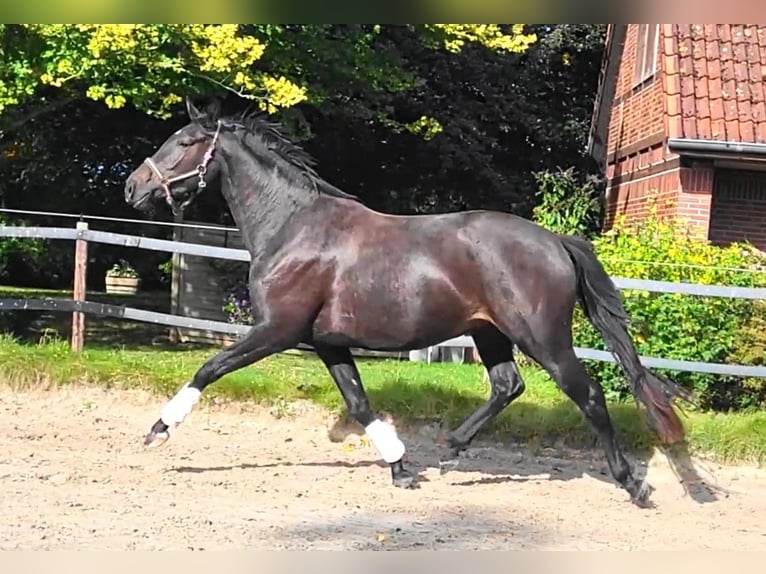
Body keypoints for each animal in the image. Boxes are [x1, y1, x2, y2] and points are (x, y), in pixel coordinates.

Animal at [123, 98, 693, 507]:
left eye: (184, 141)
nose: (133, 187)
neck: (293, 227)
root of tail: (555, 241)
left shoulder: (277, 330)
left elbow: (209, 367)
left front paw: (157, 431)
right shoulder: (327, 343)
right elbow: (358, 403)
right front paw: (399, 467)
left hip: (542, 337)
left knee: (588, 394)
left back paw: (632, 484)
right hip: (489, 332)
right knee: (507, 385)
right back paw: (453, 447)